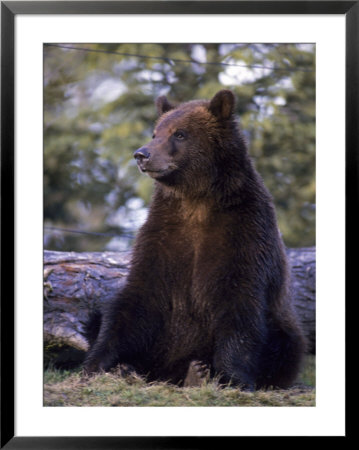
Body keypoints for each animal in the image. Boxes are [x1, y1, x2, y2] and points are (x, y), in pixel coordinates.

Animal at [85, 89, 306, 388]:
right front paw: (99, 364)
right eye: (155, 132)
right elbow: (135, 300)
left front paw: (230, 376)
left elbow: (240, 305)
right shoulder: (164, 236)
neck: (197, 202)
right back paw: (133, 370)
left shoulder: (244, 233)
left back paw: (195, 373)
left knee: (285, 343)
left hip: (283, 326)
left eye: (180, 134)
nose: (142, 154)